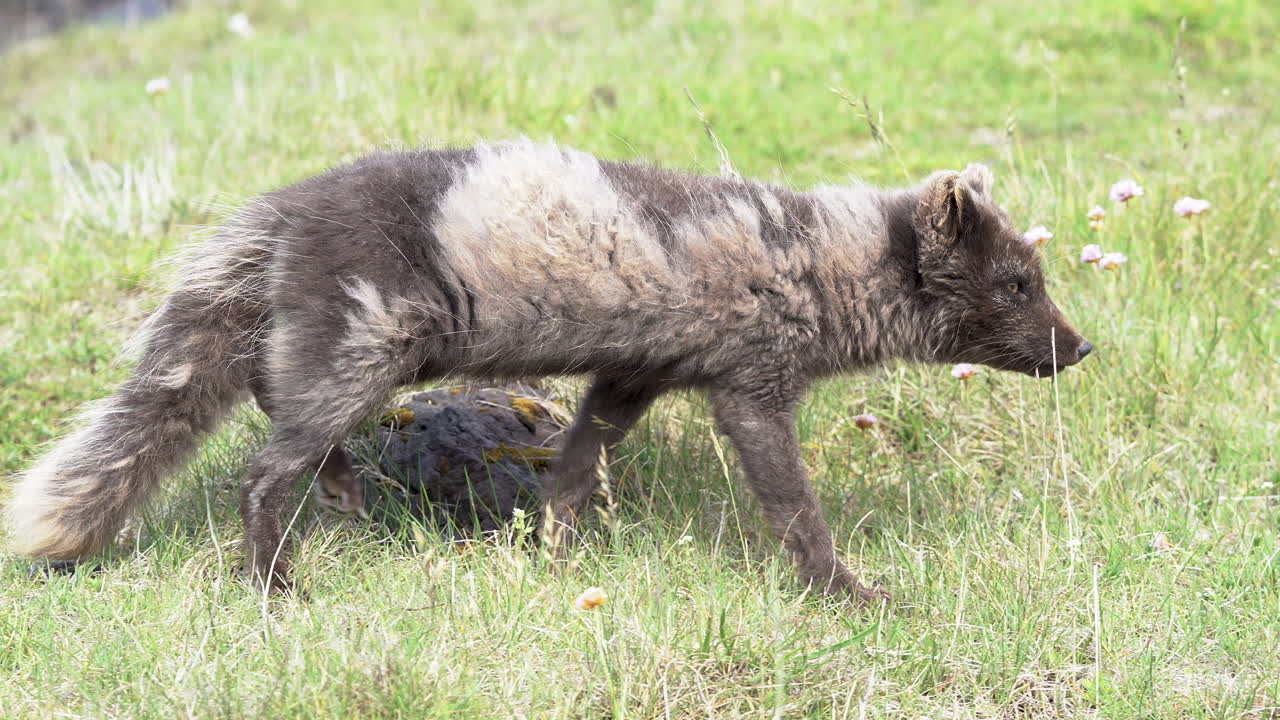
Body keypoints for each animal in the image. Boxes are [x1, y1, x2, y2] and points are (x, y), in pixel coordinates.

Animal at [5, 140, 1091, 601]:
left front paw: (557, 551)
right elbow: (793, 508)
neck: (807, 256)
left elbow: (575, 462)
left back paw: (344, 493)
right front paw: (847, 592)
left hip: (342, 351)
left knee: (278, 407)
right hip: (373, 345)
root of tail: (278, 212)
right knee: (261, 471)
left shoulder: (632, 374)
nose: (1081, 348)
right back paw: (278, 587)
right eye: (1017, 281)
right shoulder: (749, 388)